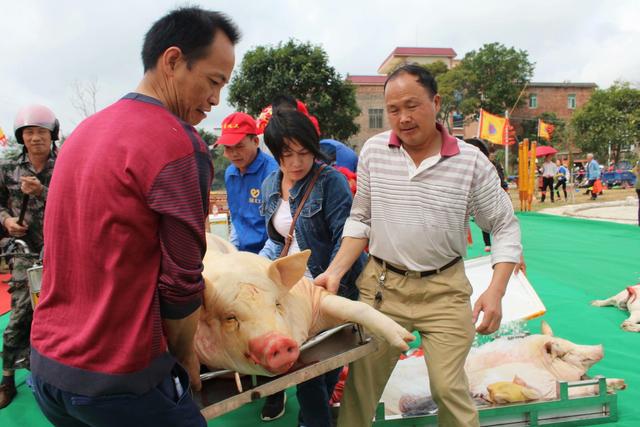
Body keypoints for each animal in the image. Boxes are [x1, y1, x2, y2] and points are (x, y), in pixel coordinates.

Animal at [195, 236, 416, 380]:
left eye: (277, 303)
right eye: (230, 318)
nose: (277, 342)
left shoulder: (312, 296)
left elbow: (353, 306)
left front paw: (405, 341)